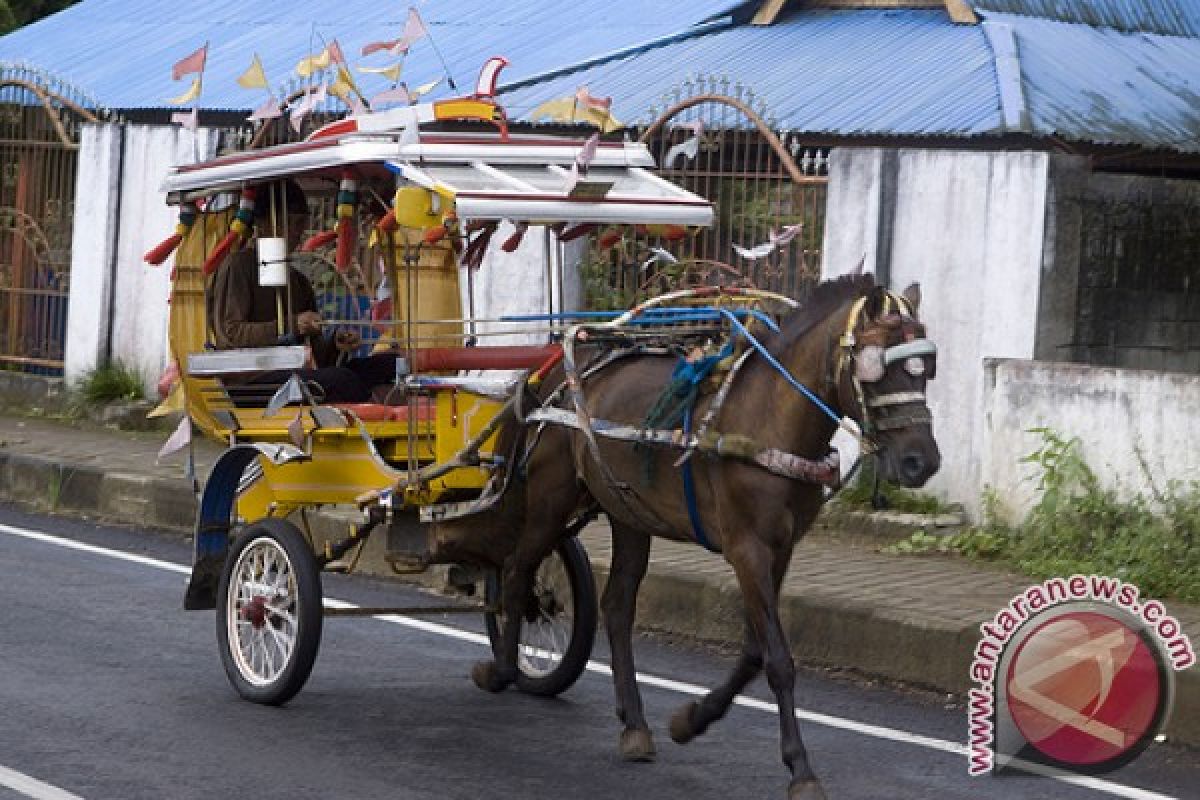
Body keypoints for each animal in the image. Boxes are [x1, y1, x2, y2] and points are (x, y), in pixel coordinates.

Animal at [472, 272, 940, 796]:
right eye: (876, 369)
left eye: (927, 369)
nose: (922, 461)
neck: (770, 418)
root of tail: (553, 374)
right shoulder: (747, 549)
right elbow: (778, 660)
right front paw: (800, 768)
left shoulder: (780, 550)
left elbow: (755, 651)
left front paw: (691, 719)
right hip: (551, 500)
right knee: (516, 572)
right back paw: (504, 668)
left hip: (628, 512)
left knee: (616, 607)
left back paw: (634, 724)